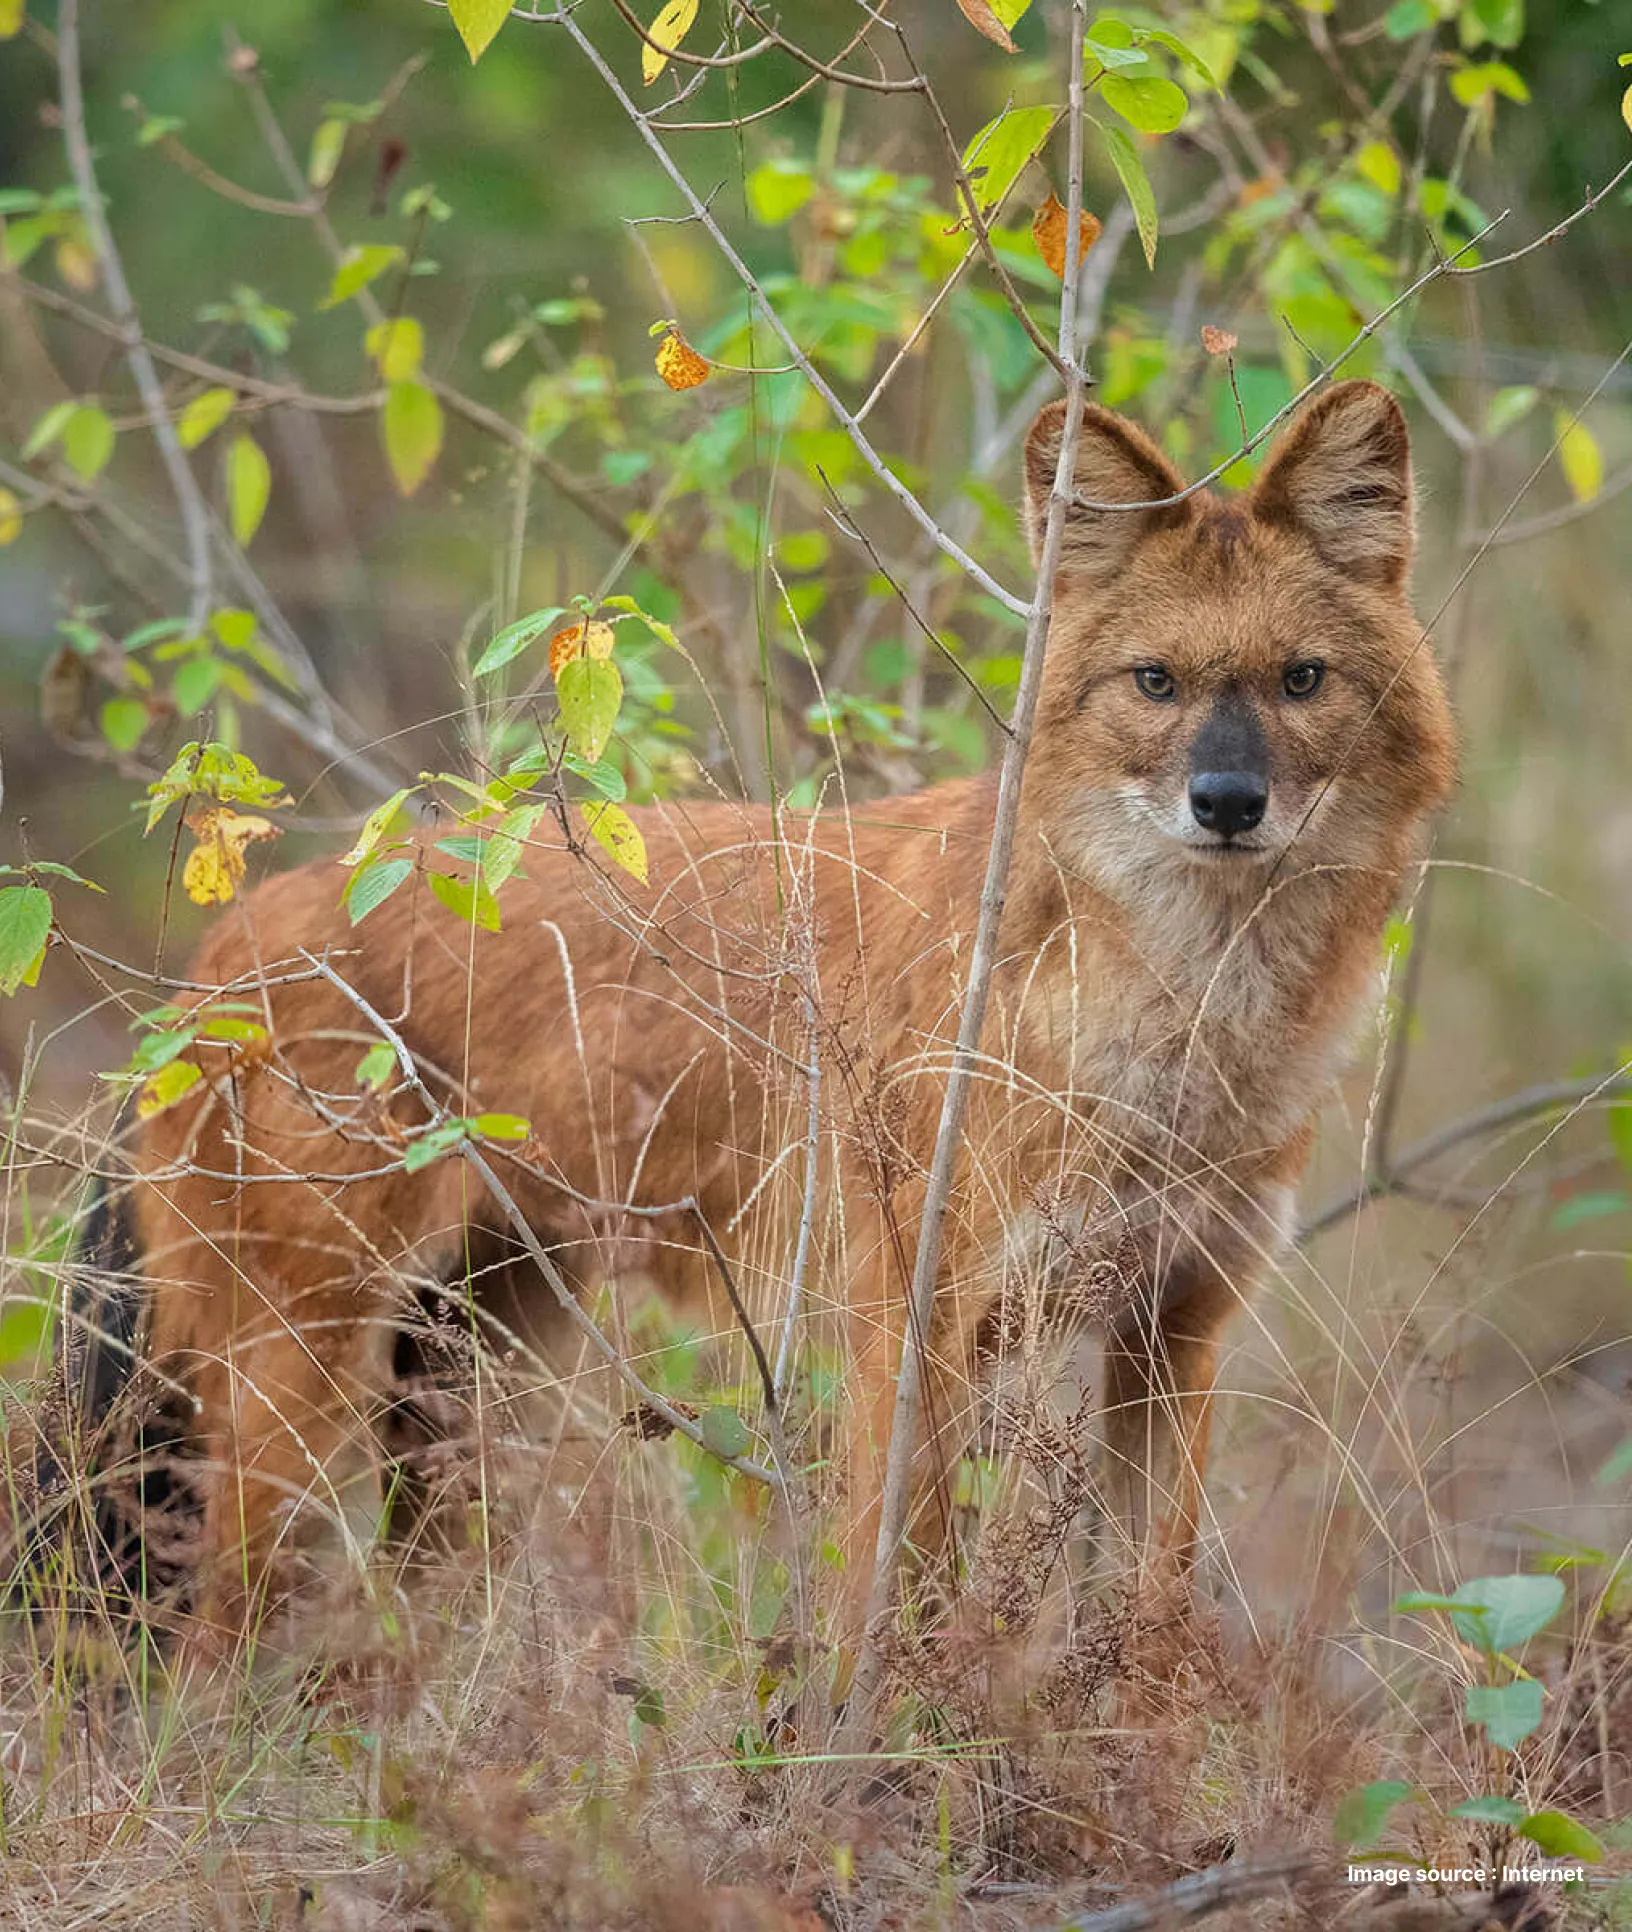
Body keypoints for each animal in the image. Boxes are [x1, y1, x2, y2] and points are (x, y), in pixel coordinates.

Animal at [37, 379, 1455, 1645]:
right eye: (1156, 683)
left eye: (1302, 680)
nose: (1228, 802)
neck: (1182, 1020)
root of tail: (225, 943)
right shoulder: (910, 1331)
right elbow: (901, 1603)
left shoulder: (1174, 1332)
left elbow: (1148, 1625)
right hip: (291, 1387)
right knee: (217, 1641)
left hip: (472, 1392)